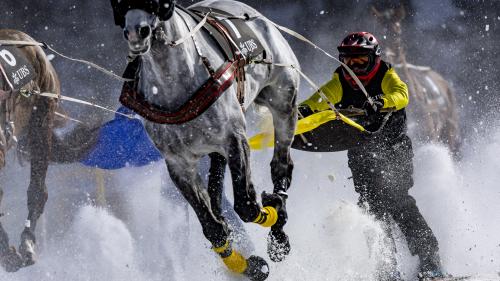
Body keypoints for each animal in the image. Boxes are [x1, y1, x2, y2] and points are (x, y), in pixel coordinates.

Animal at [111, 0, 298, 278]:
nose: (137, 32)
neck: (173, 82)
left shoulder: (234, 139)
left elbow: (246, 205)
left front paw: (274, 211)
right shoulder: (179, 164)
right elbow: (213, 228)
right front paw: (246, 264)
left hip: (284, 106)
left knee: (281, 164)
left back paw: (278, 227)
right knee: (217, 180)